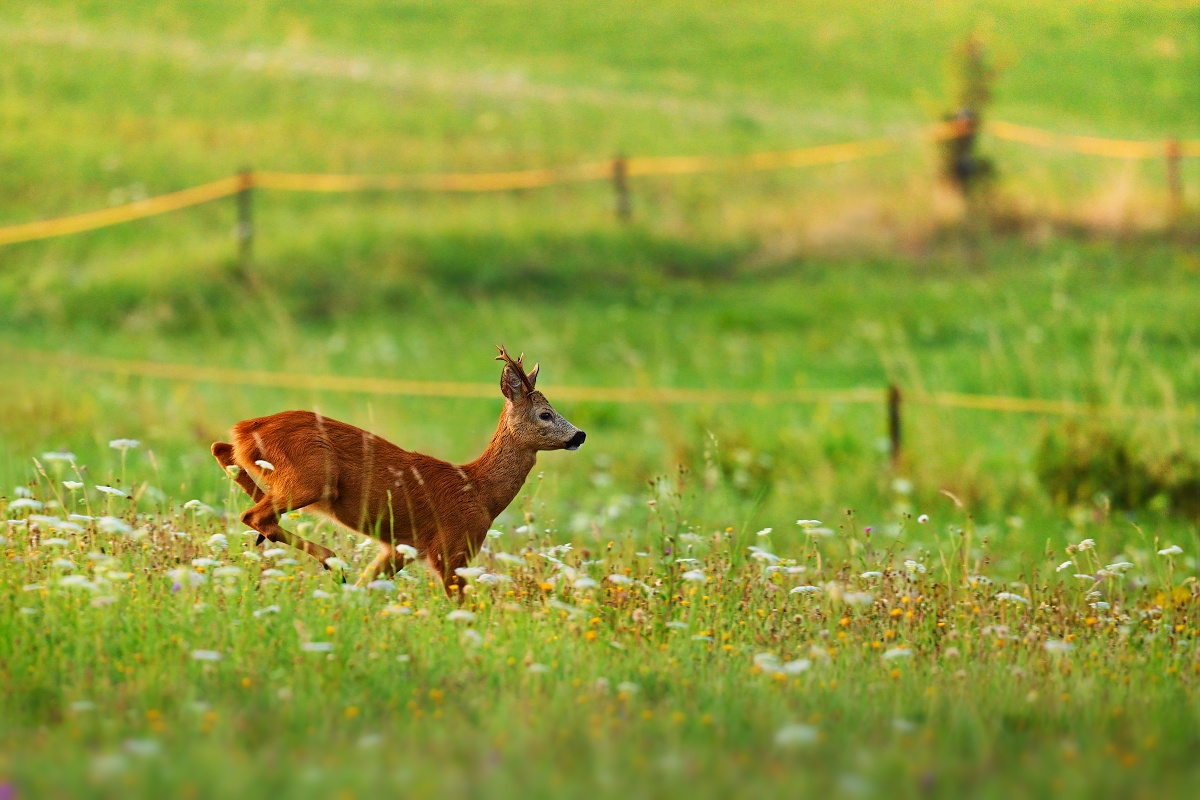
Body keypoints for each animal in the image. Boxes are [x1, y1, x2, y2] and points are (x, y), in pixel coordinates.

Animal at [211, 347, 585, 597]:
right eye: (545, 414)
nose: (579, 435)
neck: (479, 490)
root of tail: (247, 428)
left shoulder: (400, 547)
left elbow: (367, 586)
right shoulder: (452, 545)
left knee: (222, 450)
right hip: (312, 477)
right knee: (254, 514)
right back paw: (331, 560)